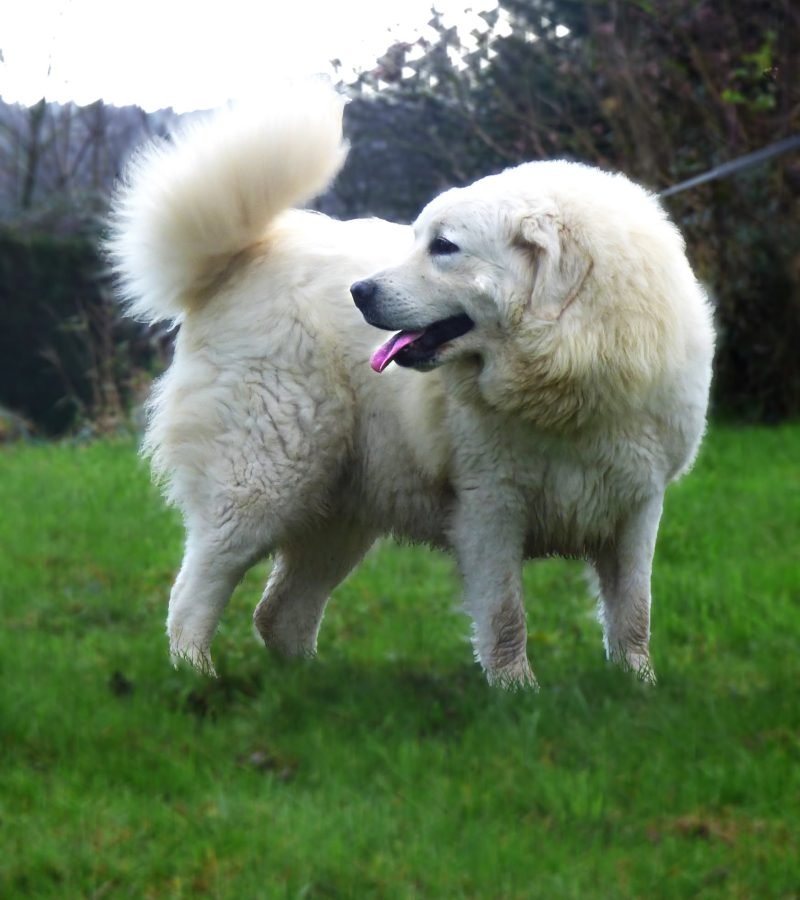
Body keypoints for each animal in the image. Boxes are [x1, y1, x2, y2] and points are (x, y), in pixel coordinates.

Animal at [107, 82, 714, 688]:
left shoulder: (637, 508)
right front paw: (518, 693)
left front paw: (639, 688)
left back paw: (314, 686)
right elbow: (506, 616)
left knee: (279, 614)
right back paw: (195, 675)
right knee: (195, 594)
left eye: (443, 246)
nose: (359, 291)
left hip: (339, 512)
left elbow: (633, 615)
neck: (572, 371)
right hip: (264, 482)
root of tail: (242, 258)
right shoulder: (490, 507)